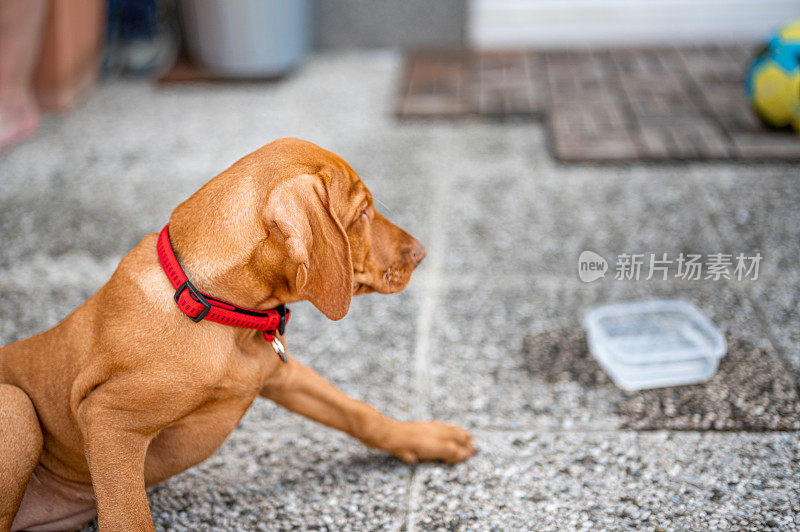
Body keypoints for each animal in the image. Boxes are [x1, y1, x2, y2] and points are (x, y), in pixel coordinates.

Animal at [1, 138, 476, 532]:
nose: (421, 253)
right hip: (18, 407)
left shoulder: (278, 374)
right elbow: (129, 517)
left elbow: (358, 412)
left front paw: (423, 438)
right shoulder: (106, 419)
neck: (213, 308)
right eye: (361, 213)